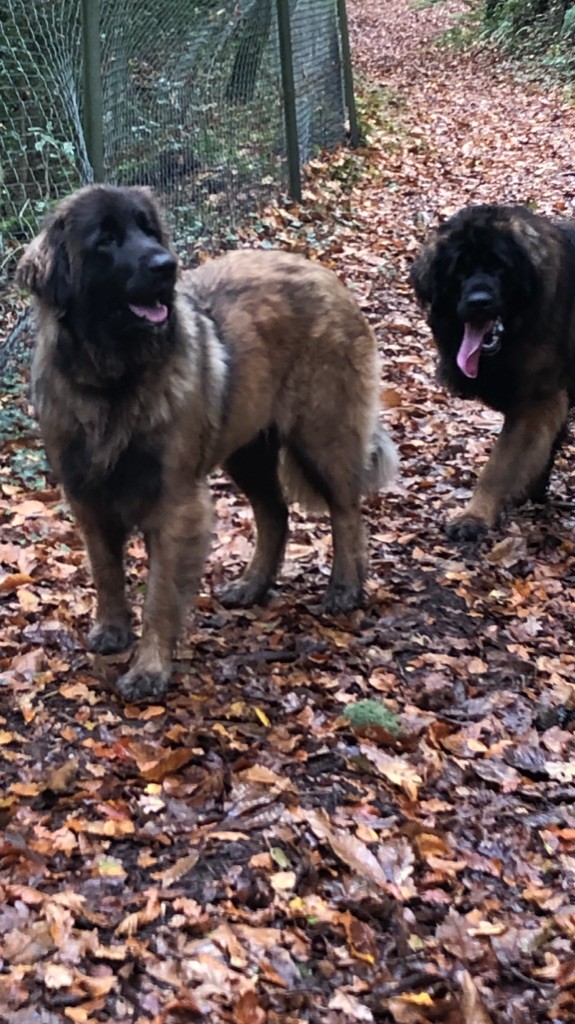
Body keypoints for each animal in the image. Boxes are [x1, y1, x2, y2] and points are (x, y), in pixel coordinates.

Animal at [16, 184, 392, 704]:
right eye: (105, 240)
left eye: (149, 230)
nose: (166, 265)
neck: (113, 382)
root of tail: (322, 271)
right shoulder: (88, 495)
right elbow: (106, 571)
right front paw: (112, 631)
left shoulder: (175, 503)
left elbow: (159, 595)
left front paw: (149, 669)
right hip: (248, 451)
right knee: (275, 513)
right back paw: (253, 586)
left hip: (322, 435)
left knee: (346, 510)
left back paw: (343, 588)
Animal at [409, 199, 572, 536]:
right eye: (459, 270)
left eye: (500, 266)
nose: (479, 301)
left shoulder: (537, 400)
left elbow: (499, 465)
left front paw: (475, 516)